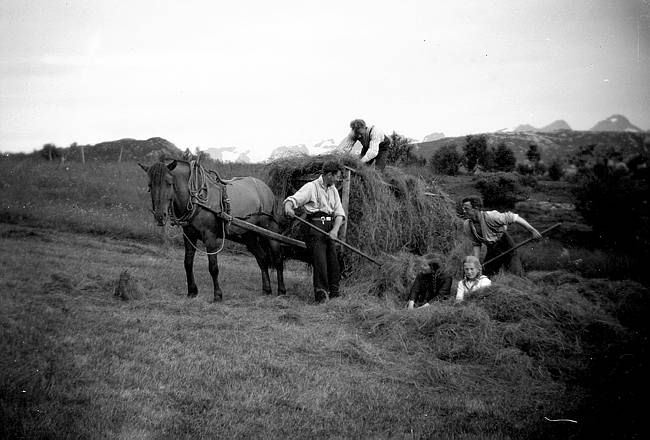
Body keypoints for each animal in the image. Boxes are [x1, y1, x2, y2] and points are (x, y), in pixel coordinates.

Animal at [139, 160, 284, 300]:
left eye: (169, 183)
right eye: (150, 186)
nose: (160, 216)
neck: (197, 199)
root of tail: (265, 188)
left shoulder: (210, 237)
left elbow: (213, 267)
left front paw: (218, 295)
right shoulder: (189, 236)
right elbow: (188, 263)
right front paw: (192, 291)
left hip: (270, 230)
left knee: (277, 259)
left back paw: (281, 290)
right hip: (249, 235)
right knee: (262, 258)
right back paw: (267, 289)